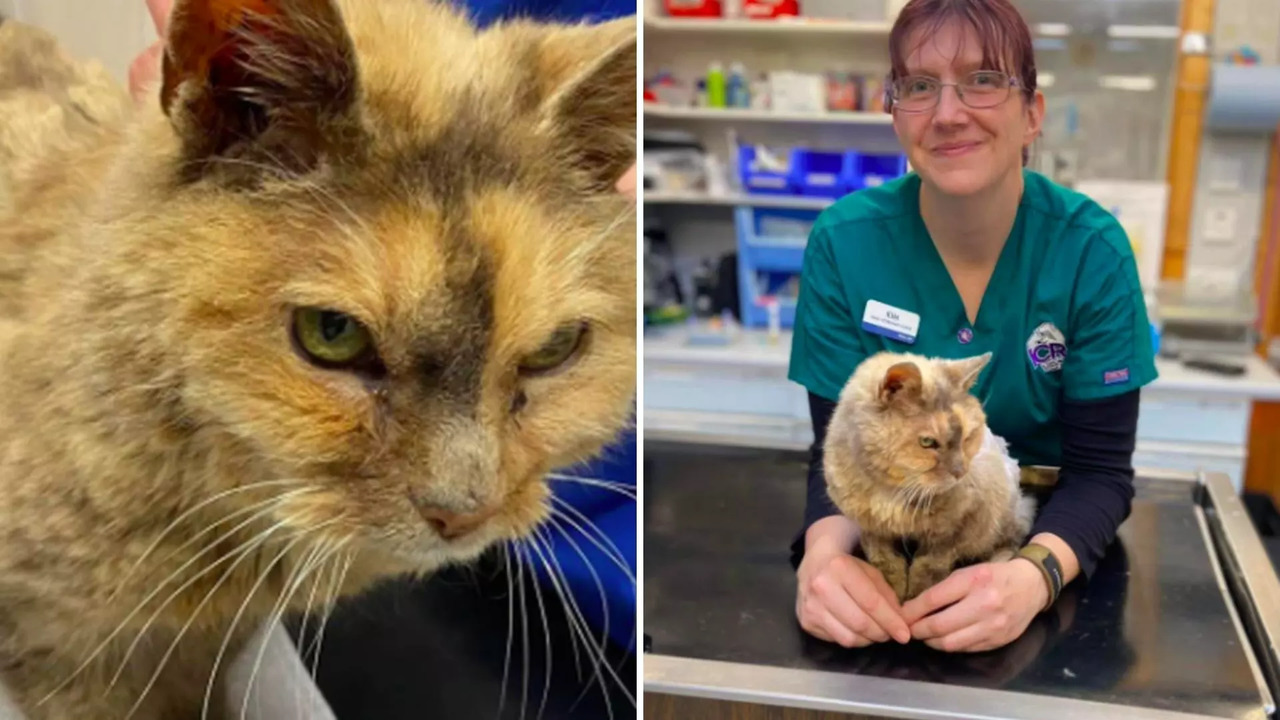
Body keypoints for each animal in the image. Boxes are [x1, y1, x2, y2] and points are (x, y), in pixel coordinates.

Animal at [824, 351, 1034, 602]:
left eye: (967, 437)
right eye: (927, 442)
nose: (960, 472)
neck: (893, 491)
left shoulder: (956, 528)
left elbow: (928, 568)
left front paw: (915, 600)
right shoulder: (871, 528)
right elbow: (885, 562)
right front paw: (895, 595)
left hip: (1010, 511)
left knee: (1012, 540)